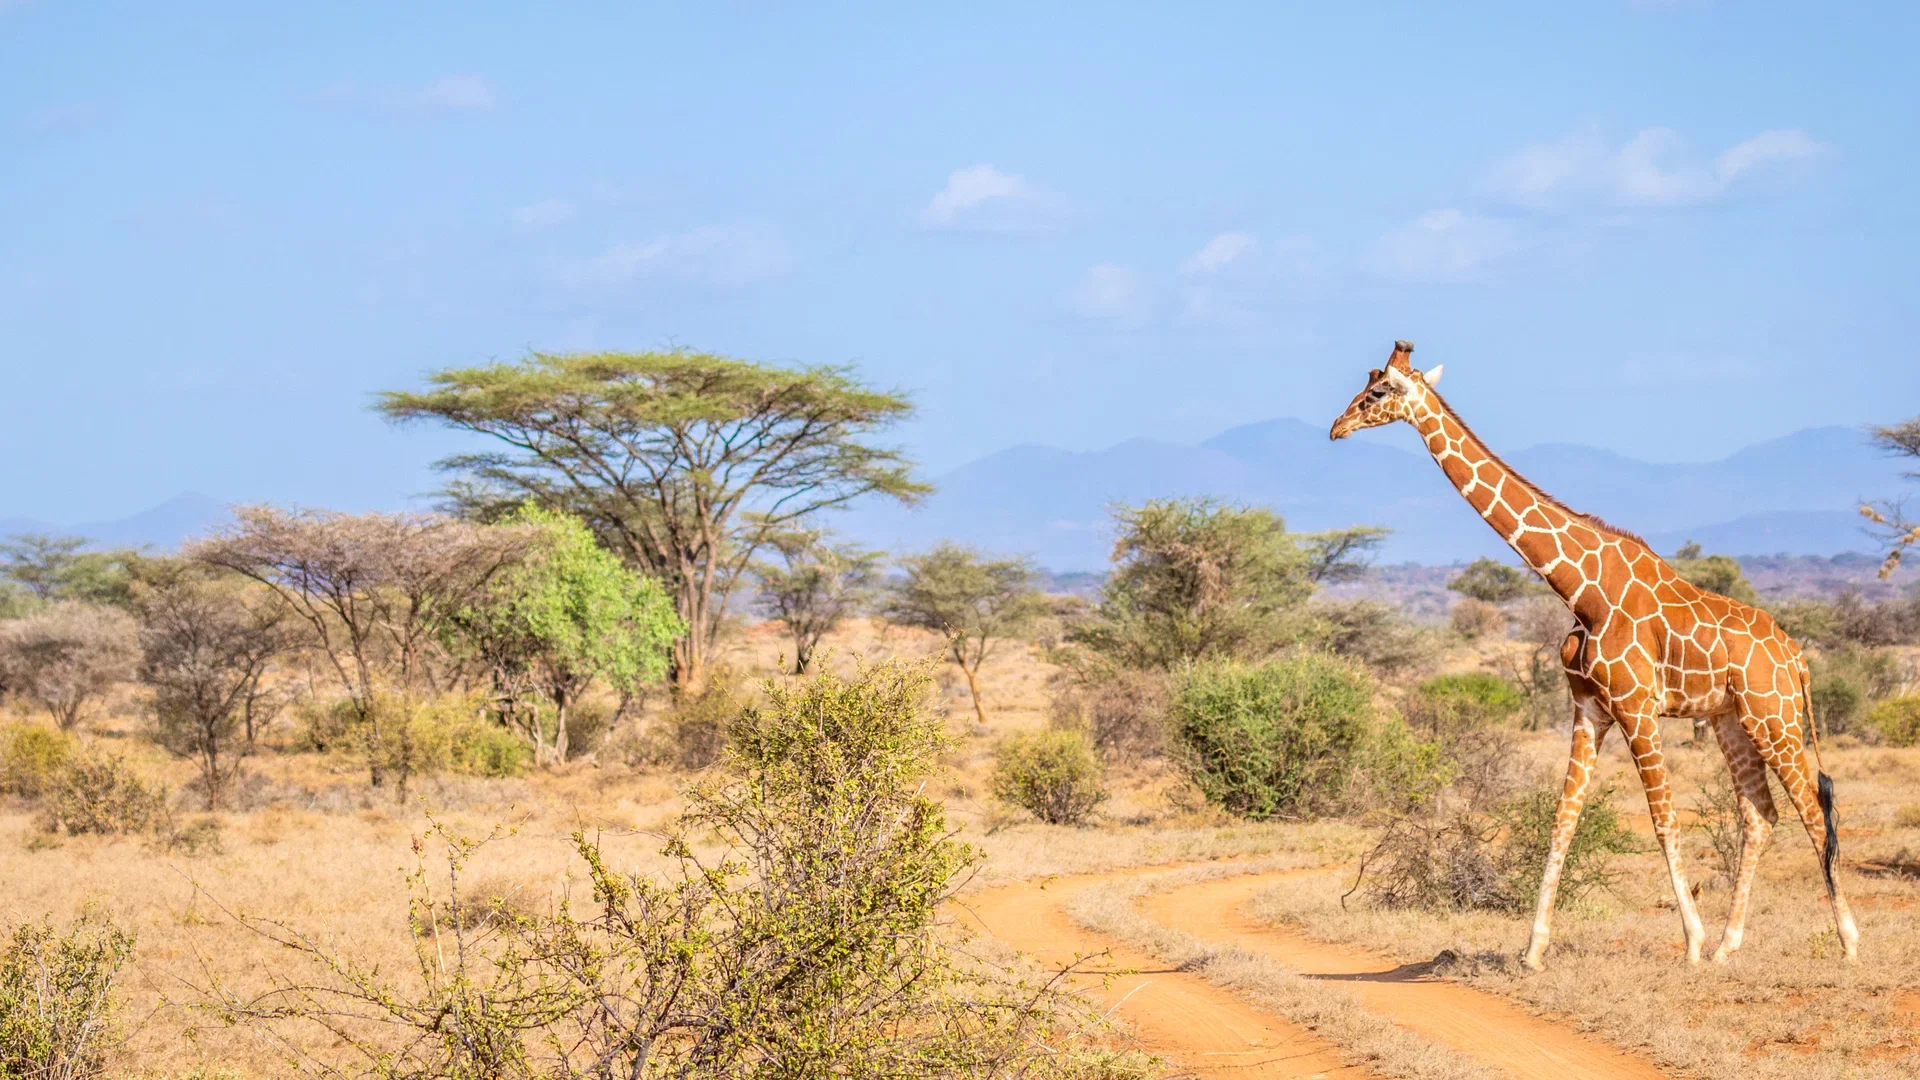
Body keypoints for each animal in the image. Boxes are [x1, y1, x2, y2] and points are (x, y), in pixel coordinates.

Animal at [1328, 340, 1859, 970]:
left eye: (1379, 390)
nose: (1337, 426)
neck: (1581, 591)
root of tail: (1796, 654)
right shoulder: (1588, 709)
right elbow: (1564, 817)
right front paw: (1533, 949)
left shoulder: (1637, 709)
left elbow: (1663, 820)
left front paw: (1691, 943)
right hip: (1730, 718)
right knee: (1761, 814)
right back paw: (1731, 946)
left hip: (1772, 715)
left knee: (1812, 809)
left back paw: (1847, 942)